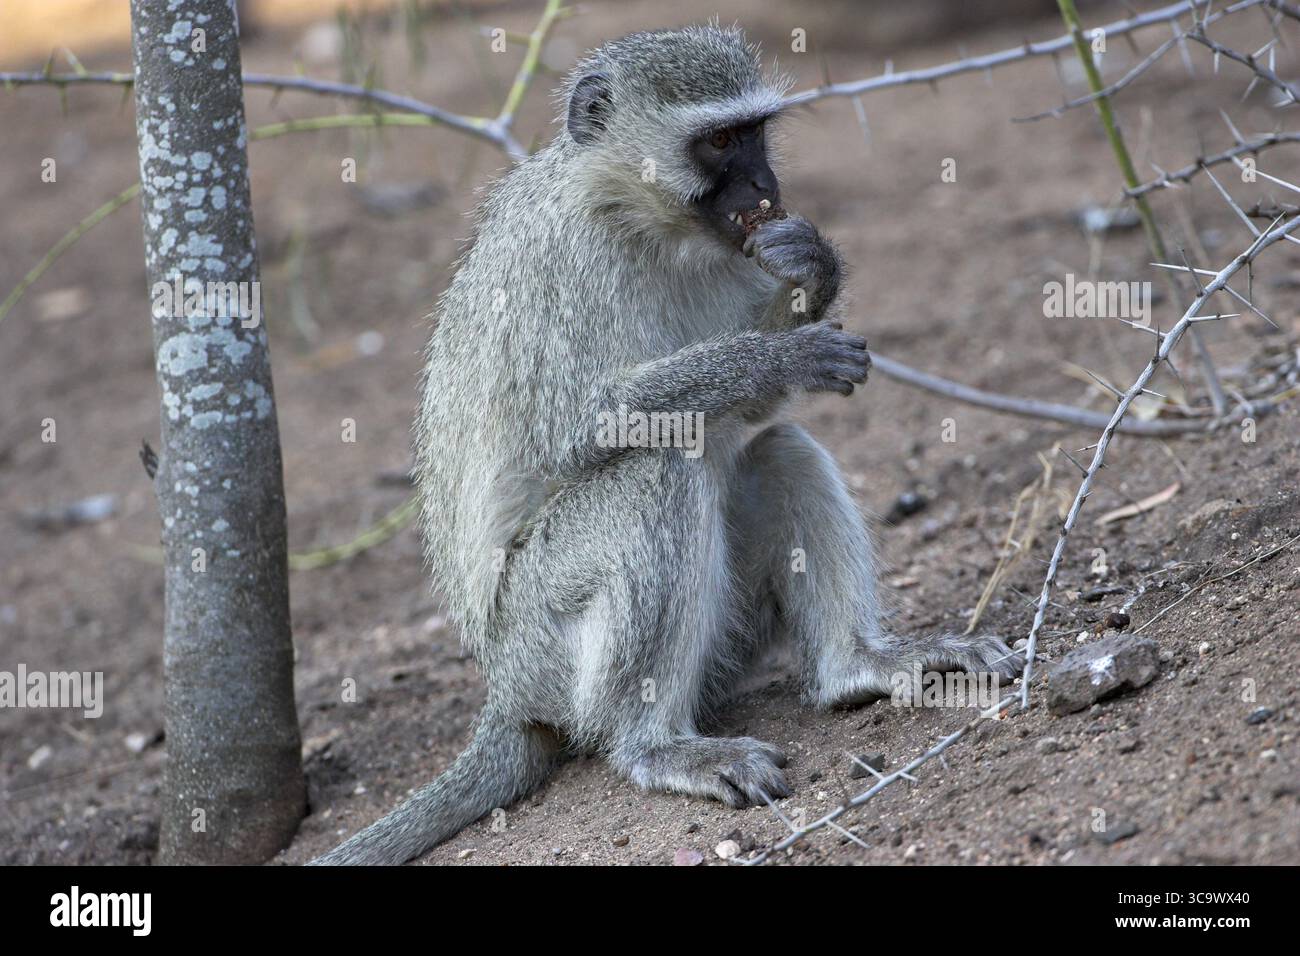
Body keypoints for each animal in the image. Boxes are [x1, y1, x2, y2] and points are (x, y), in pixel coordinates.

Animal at [312, 24, 1021, 866]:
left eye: (756, 134)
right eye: (718, 142)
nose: (765, 185)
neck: (635, 218)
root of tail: (505, 691)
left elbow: (755, 416)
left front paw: (814, 267)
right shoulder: (562, 264)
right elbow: (578, 427)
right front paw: (774, 358)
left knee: (776, 451)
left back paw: (860, 667)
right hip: (542, 639)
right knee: (657, 476)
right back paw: (656, 746)